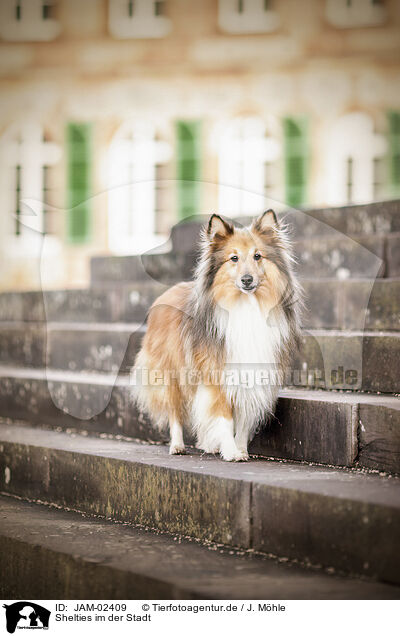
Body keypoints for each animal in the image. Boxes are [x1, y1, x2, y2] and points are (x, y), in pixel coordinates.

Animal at [133, 210, 302, 462]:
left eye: (258, 256)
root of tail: (166, 293)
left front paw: (241, 449)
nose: (247, 280)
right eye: (233, 258)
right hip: (171, 373)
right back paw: (177, 446)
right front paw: (231, 452)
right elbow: (224, 416)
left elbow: (243, 420)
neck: (245, 305)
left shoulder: (252, 373)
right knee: (175, 412)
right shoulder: (216, 373)